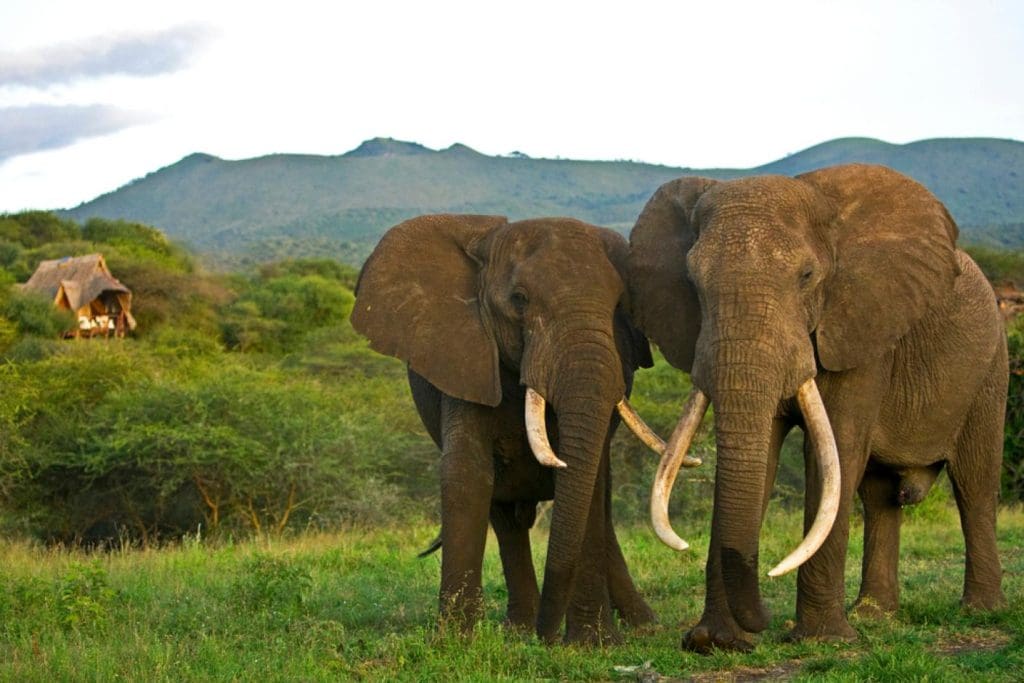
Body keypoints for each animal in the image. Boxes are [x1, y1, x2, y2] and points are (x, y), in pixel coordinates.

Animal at [351, 214, 668, 644]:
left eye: (621, 306)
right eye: (520, 299)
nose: (547, 638)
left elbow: (587, 479)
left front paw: (592, 646)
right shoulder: (465, 357)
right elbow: (468, 474)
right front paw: (454, 644)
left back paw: (643, 626)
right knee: (506, 517)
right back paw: (519, 629)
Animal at [627, 163, 1008, 651]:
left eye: (806, 276)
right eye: (692, 283)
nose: (763, 618)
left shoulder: (860, 327)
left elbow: (835, 451)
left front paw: (822, 640)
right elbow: (766, 455)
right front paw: (714, 642)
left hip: (990, 367)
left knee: (975, 482)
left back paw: (981, 611)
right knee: (881, 495)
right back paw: (874, 615)